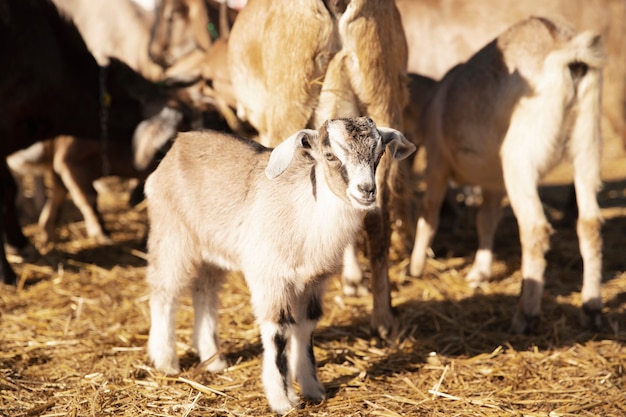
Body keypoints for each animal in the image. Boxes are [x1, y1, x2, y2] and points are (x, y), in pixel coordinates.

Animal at [143, 116, 412, 412]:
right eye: (330, 155)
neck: (307, 213)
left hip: (211, 250)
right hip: (171, 232)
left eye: (379, 153)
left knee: (205, 293)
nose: (366, 191)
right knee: (164, 291)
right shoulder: (271, 277)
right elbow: (278, 330)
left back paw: (214, 360)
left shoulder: (313, 282)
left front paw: (313, 390)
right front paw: (283, 400)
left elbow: (306, 326)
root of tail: (179, 143)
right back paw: (166, 361)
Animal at [404, 16, 604, 334]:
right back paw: (592, 308)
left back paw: (525, 314)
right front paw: (479, 272)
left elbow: (429, 214)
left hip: (521, 155)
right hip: (588, 143)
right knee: (590, 224)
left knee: (535, 228)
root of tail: (567, 51)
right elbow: (486, 219)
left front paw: (415, 268)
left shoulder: (437, 161)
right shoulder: (494, 180)